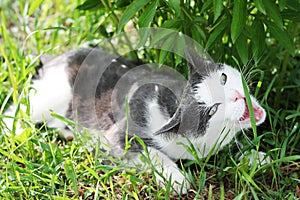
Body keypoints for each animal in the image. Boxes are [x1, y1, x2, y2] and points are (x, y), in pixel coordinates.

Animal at [3, 47, 266, 195]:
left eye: (223, 78)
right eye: (212, 110)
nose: (236, 95)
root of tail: (56, 58)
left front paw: (256, 157)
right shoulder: (119, 134)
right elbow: (149, 152)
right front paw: (176, 178)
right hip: (49, 97)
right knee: (17, 112)